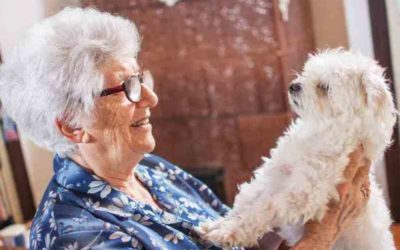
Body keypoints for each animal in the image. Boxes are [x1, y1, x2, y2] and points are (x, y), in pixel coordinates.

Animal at [200, 49, 396, 249]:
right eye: (306, 72)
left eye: (323, 87)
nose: (293, 86)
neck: (319, 131)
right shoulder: (273, 176)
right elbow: (247, 201)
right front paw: (219, 224)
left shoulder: (303, 194)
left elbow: (263, 209)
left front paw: (228, 232)